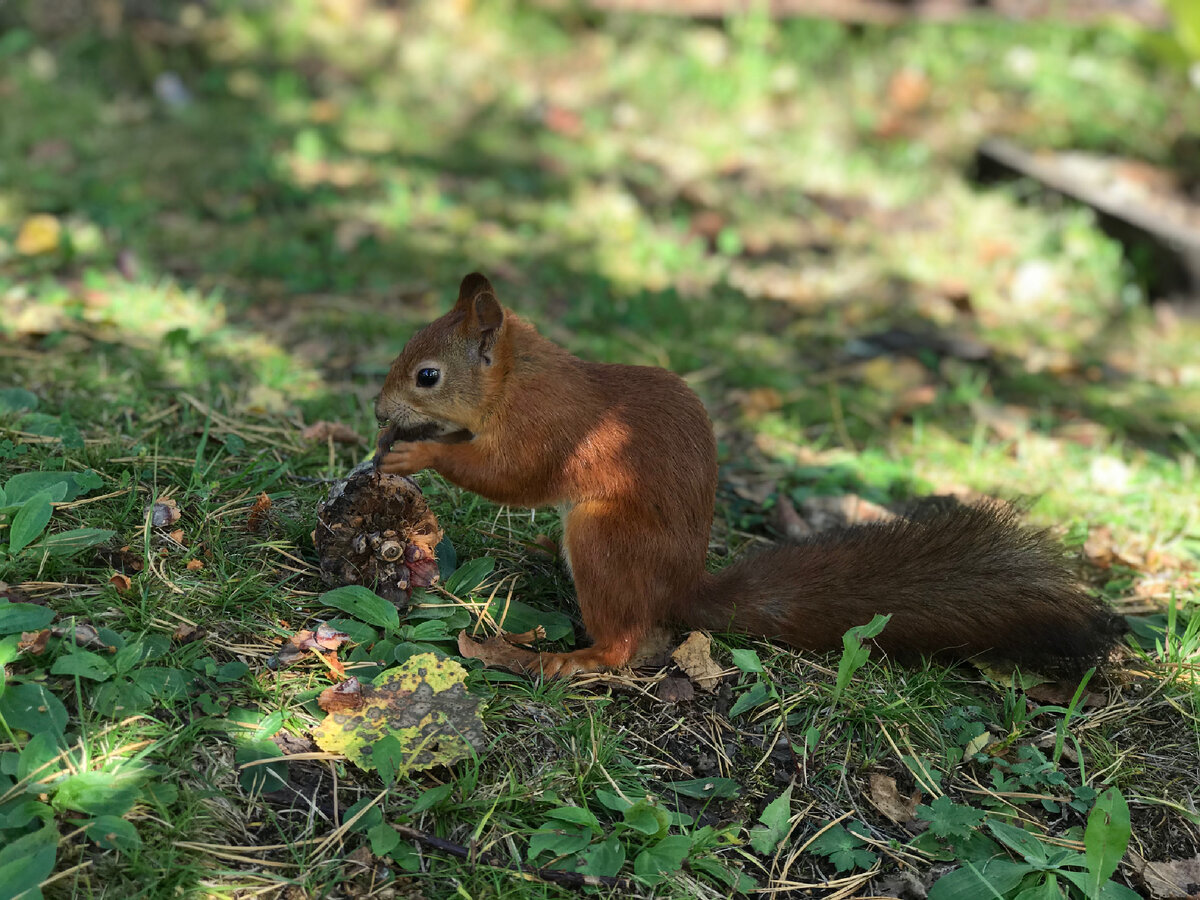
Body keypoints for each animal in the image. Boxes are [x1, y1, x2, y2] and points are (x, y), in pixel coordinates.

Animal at [374, 273, 1123, 676]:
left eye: (427, 375)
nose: (378, 409)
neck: (515, 379)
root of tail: (681, 589)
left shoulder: (550, 429)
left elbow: (510, 475)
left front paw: (420, 454)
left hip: (604, 537)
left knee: (630, 643)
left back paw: (570, 659)